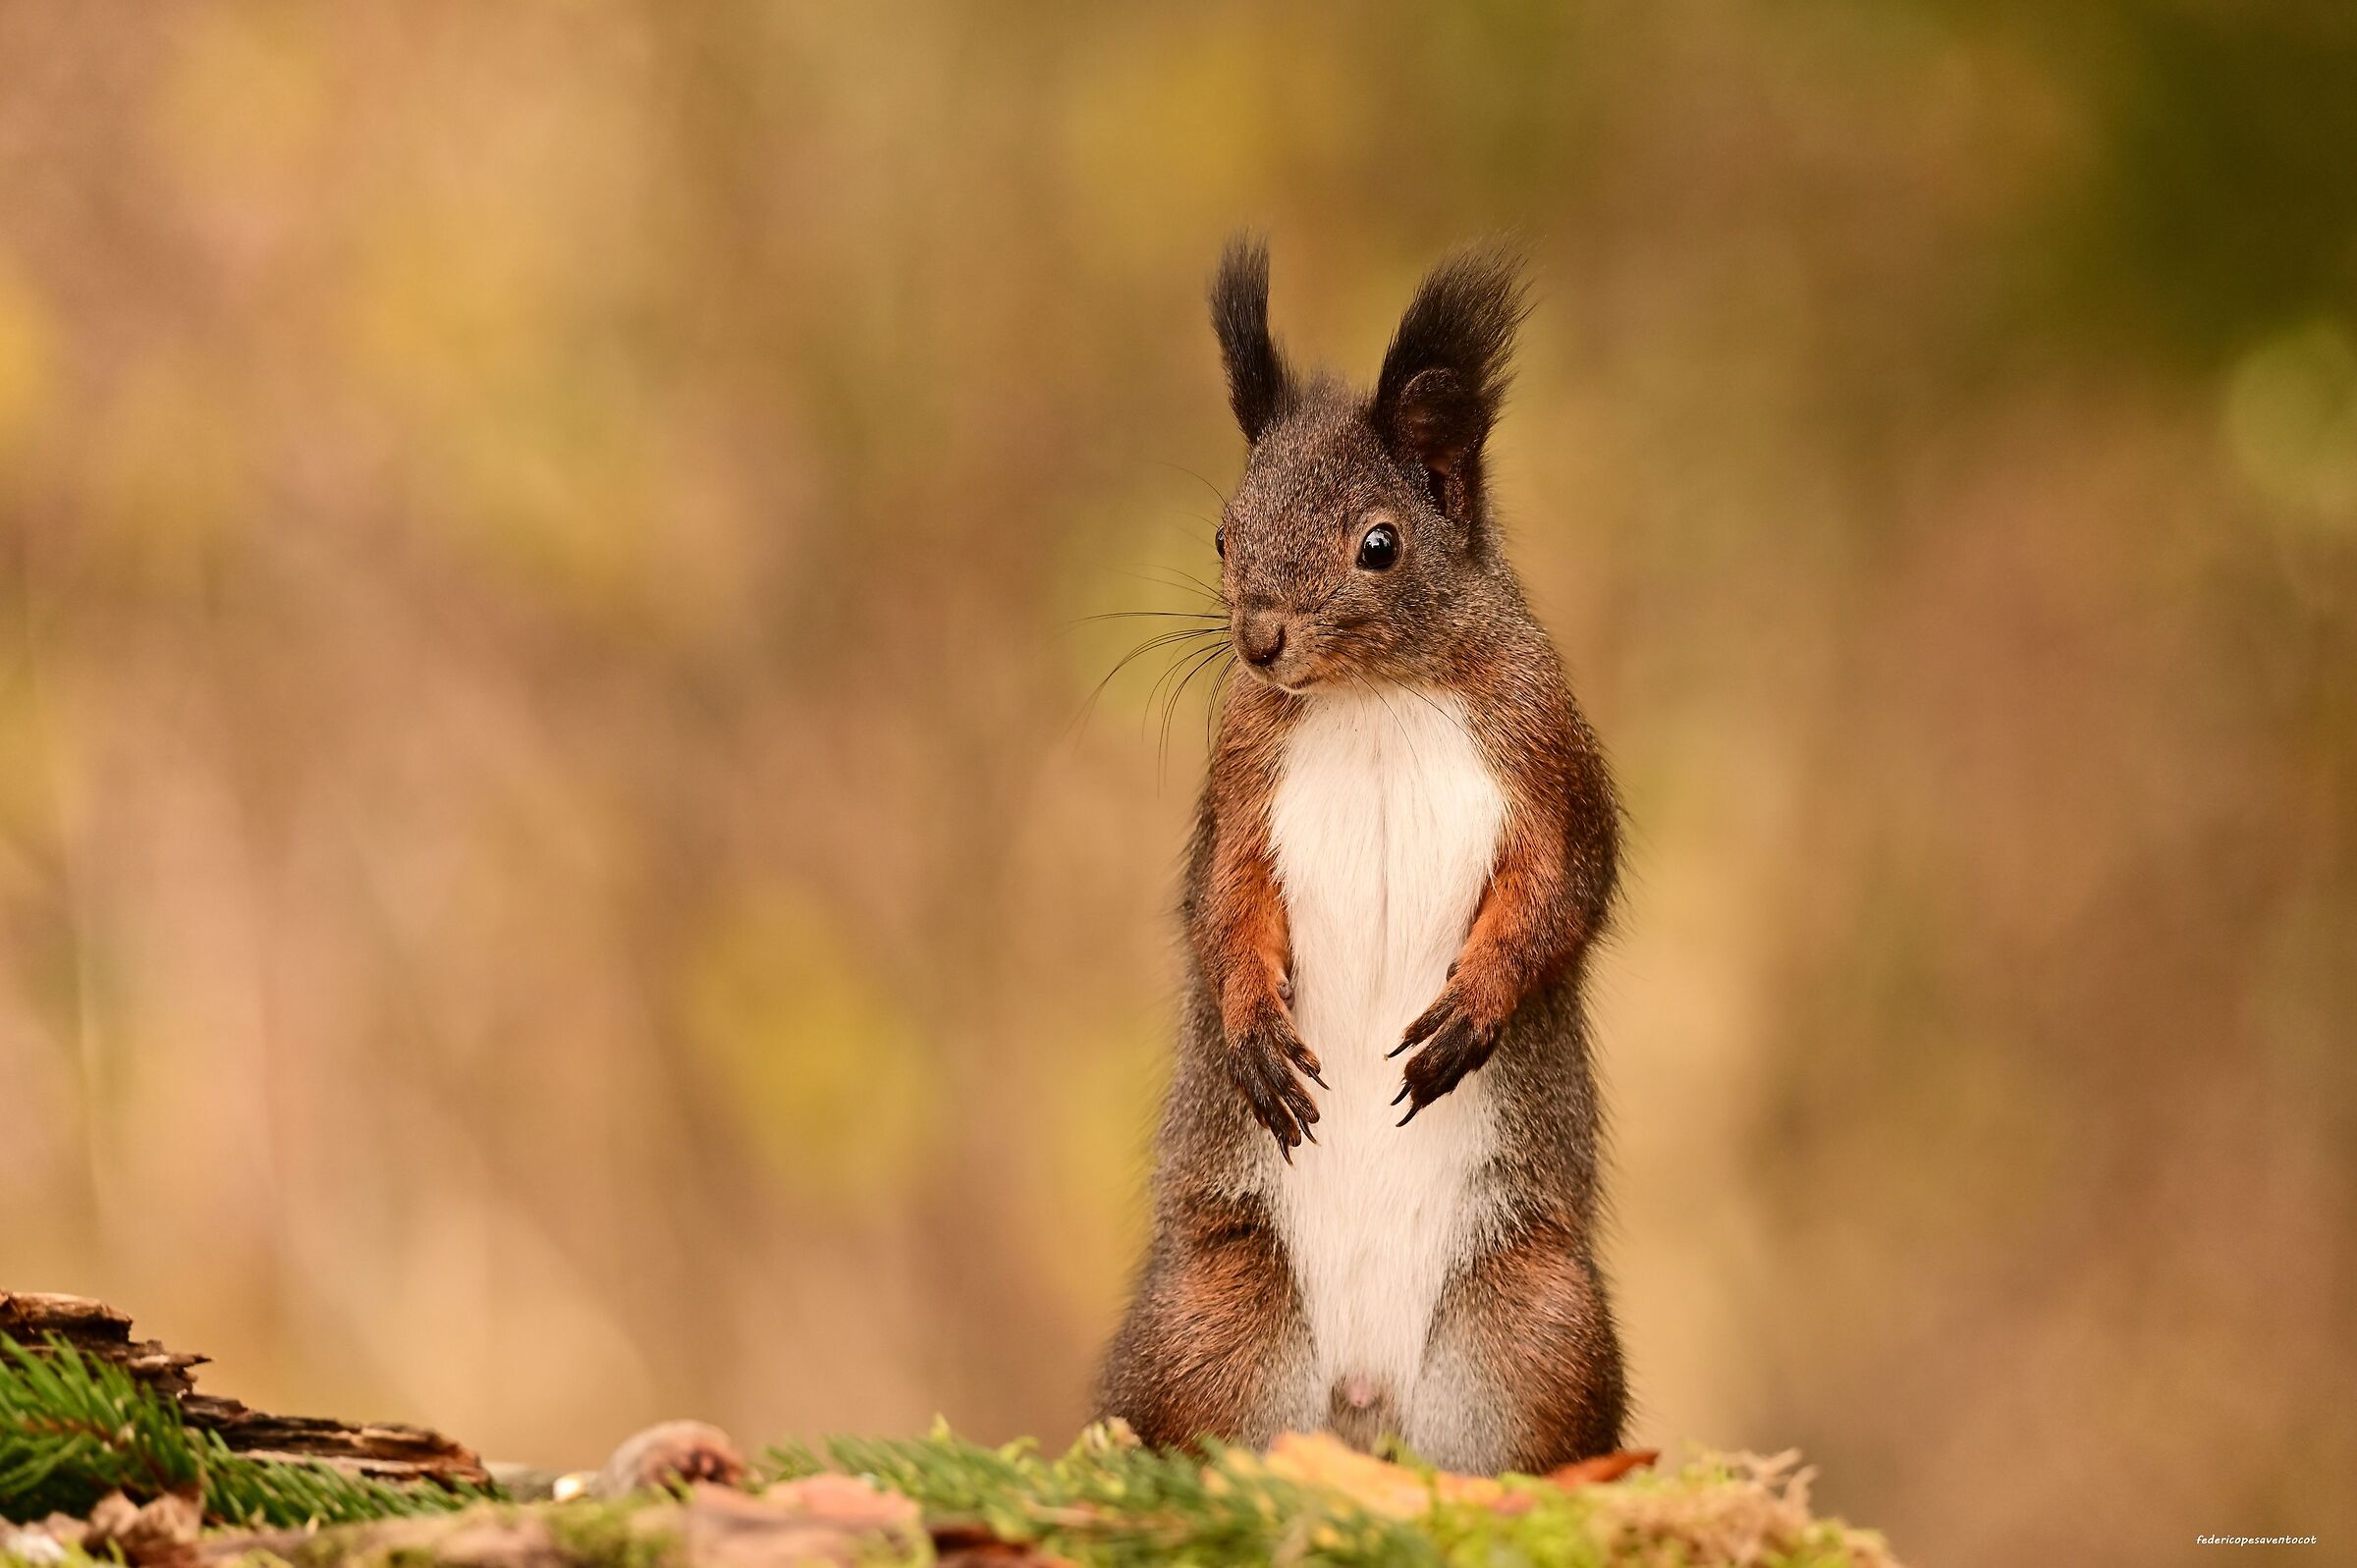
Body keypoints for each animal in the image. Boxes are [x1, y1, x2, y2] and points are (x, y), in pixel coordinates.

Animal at [1096, 239, 1627, 1475]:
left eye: (1378, 545)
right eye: (1225, 535)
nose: (1259, 637)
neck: (1372, 697)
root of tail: (1364, 1397)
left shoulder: (1547, 753)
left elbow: (1563, 890)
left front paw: (1475, 1007)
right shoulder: (1245, 778)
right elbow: (1223, 903)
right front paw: (1252, 1026)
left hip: (1541, 1326)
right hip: (1210, 1313)